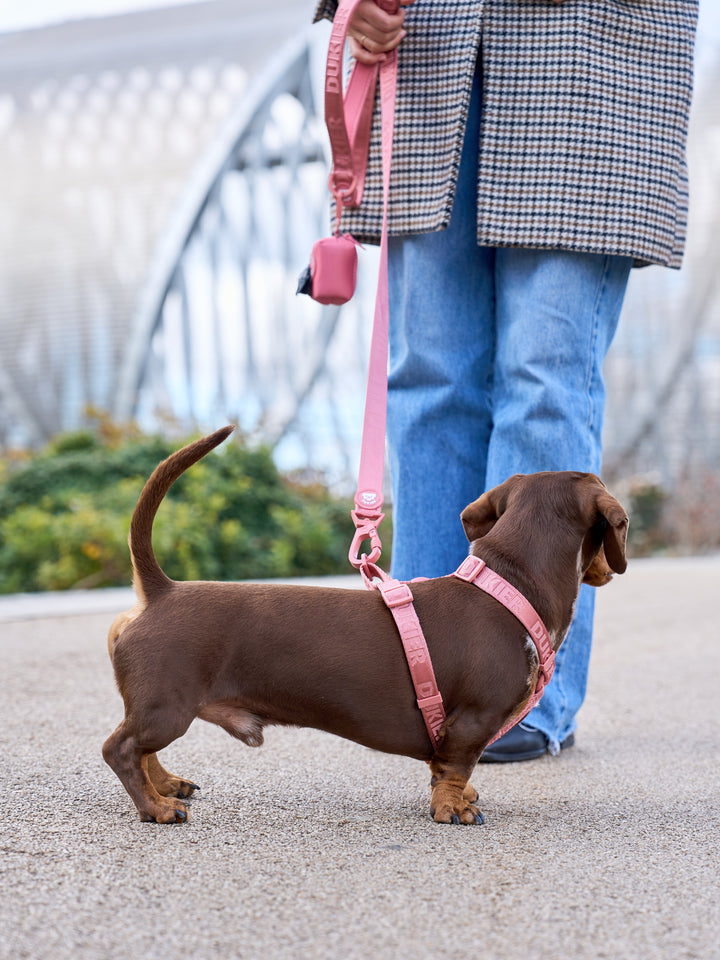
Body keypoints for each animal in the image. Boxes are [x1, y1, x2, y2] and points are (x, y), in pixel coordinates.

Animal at [101, 428, 624, 824]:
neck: (508, 584)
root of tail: (162, 590)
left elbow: (447, 770)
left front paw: (459, 796)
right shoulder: (473, 720)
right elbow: (456, 768)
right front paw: (453, 807)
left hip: (160, 707)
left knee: (143, 750)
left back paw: (167, 786)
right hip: (168, 705)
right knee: (121, 749)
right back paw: (156, 807)